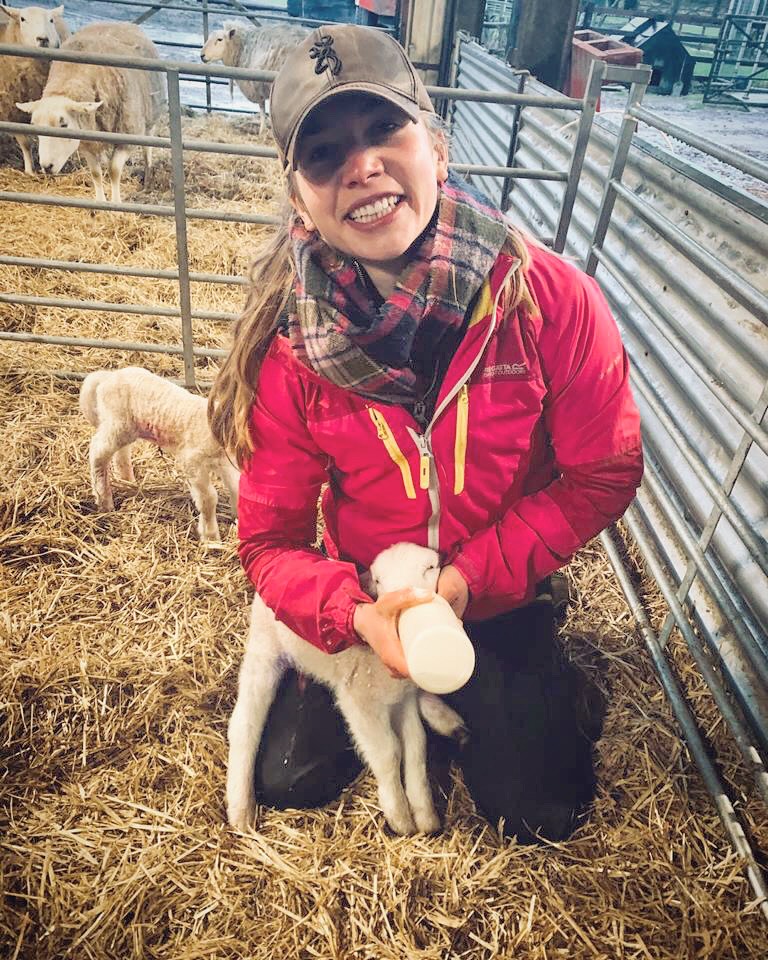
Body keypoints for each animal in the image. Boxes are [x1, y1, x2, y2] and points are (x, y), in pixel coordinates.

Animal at [0, 4, 69, 174]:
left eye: (51, 20)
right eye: (22, 19)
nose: (43, 39)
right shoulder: (10, 112)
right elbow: (26, 143)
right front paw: (30, 170)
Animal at [16, 21, 166, 203]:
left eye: (64, 124)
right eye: (33, 124)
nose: (46, 166)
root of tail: (122, 23)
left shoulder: (127, 137)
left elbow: (114, 170)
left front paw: (116, 204)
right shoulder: (87, 142)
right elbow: (95, 173)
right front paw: (100, 202)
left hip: (150, 119)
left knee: (147, 148)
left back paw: (148, 178)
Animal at [79, 367, 240, 544]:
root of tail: (108, 376)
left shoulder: (226, 463)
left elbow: (237, 488)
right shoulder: (192, 461)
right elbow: (208, 499)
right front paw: (211, 537)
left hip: (127, 428)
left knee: (121, 453)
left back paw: (127, 482)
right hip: (117, 422)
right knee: (97, 452)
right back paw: (104, 500)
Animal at [226, 542, 469, 835]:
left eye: (430, 568)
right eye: (378, 580)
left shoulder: (403, 698)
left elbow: (416, 747)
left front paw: (424, 815)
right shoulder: (359, 699)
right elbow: (388, 752)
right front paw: (399, 817)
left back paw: (446, 719)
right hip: (266, 649)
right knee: (244, 724)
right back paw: (241, 810)